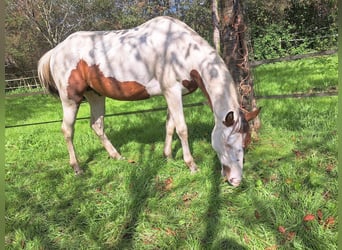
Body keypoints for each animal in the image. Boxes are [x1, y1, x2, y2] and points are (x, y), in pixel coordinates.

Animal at [38, 15, 260, 187]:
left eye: (246, 142)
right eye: (228, 144)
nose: (236, 181)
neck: (179, 49)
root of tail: (56, 51)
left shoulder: (173, 94)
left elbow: (170, 126)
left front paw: (168, 156)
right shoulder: (172, 91)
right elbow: (182, 128)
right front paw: (191, 165)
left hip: (95, 95)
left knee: (97, 125)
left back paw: (117, 157)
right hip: (70, 99)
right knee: (67, 130)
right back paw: (77, 168)